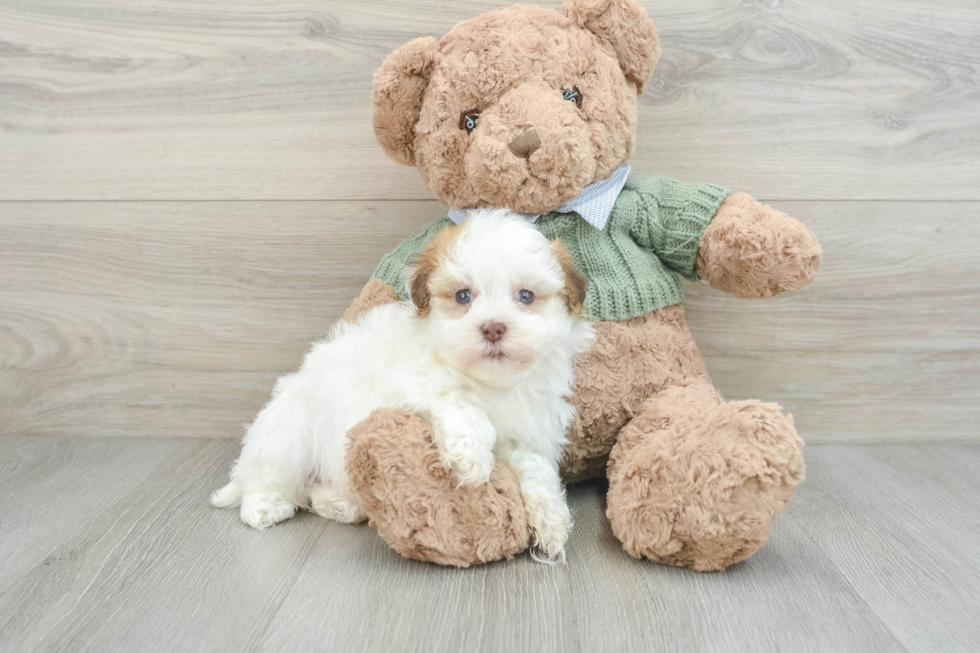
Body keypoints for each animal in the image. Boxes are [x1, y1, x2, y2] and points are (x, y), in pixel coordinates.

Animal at [213, 209, 592, 560]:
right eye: (463, 296)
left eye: (526, 296)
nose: (493, 327)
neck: (490, 382)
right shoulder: (411, 384)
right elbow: (457, 400)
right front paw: (471, 459)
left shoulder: (525, 429)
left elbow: (535, 467)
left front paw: (551, 519)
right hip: (287, 439)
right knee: (269, 483)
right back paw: (265, 507)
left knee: (313, 492)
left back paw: (340, 504)